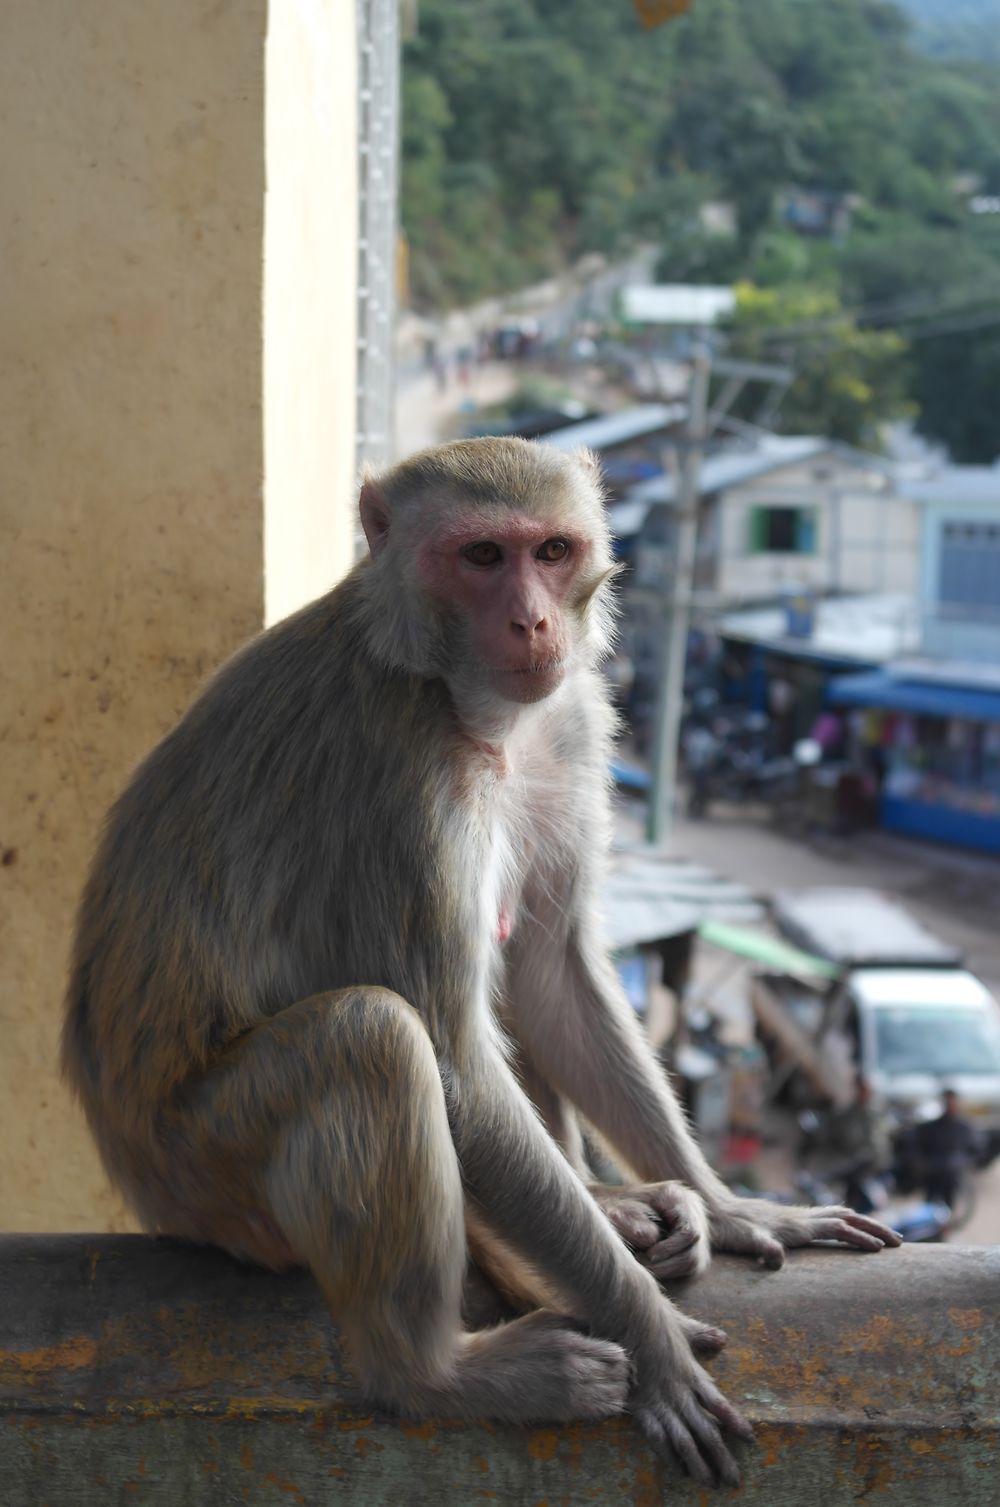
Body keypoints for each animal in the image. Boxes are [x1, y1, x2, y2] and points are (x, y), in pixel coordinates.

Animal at [62, 437, 897, 1482]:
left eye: (551, 549)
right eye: (483, 557)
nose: (532, 619)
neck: (458, 692)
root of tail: (131, 1166)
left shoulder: (572, 723)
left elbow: (553, 972)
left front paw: (735, 1206)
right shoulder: (401, 779)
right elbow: (454, 1063)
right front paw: (651, 1334)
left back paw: (615, 1203)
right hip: (206, 1170)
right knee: (370, 1036)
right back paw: (432, 1372)